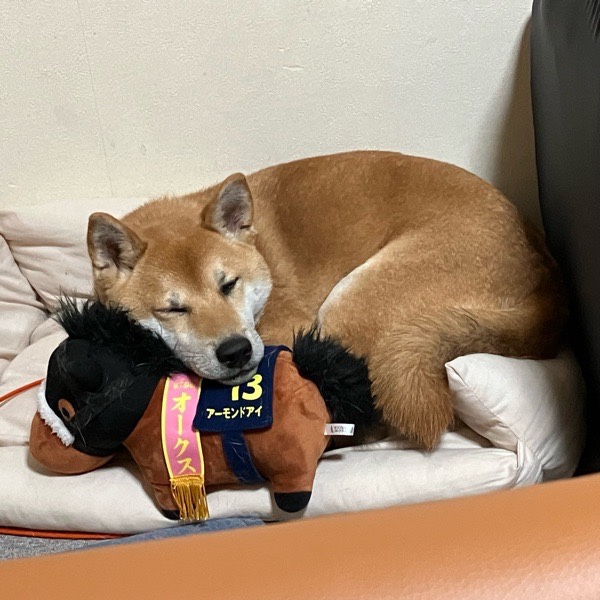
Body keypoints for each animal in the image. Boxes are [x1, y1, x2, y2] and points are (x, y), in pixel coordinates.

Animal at [87, 150, 566, 449]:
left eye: (229, 284)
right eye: (173, 308)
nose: (235, 351)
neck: (262, 254)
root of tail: (545, 278)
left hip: (350, 302)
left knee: (366, 413)